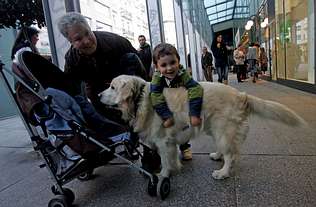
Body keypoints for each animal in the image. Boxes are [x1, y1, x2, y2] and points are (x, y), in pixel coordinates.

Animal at [99, 75, 306, 180]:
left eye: (112, 87)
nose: (98, 95)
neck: (139, 99)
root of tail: (241, 94)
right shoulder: (169, 142)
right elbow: (172, 157)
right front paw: (176, 168)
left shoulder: (163, 141)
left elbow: (165, 161)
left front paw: (163, 175)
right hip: (215, 129)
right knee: (225, 151)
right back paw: (217, 155)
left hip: (223, 130)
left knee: (231, 155)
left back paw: (223, 172)